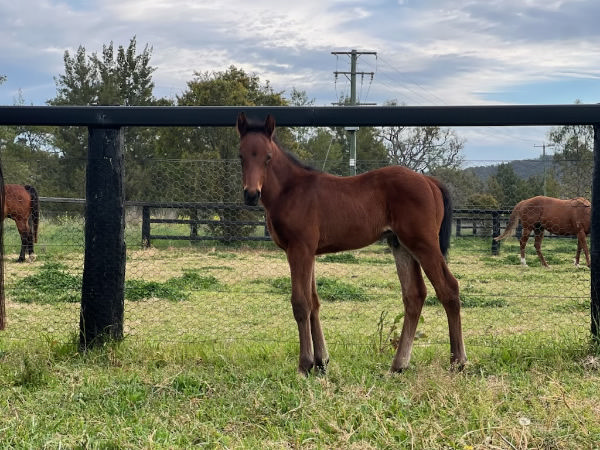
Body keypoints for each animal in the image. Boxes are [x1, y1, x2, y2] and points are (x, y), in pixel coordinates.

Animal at [237, 113, 466, 376]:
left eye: (267, 157)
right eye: (241, 156)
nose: (251, 194)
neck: (291, 190)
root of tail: (428, 180)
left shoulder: (299, 250)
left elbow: (301, 304)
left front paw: (304, 365)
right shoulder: (309, 252)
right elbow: (314, 302)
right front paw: (321, 362)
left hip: (424, 244)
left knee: (448, 289)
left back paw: (458, 362)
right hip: (401, 245)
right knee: (414, 295)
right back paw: (398, 365)